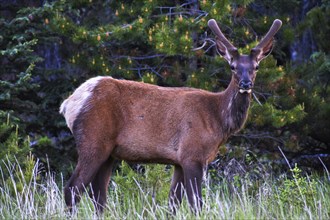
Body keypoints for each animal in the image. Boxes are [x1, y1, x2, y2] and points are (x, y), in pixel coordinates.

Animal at [58, 18, 282, 214]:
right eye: (232, 66)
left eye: (256, 67)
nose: (246, 84)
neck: (217, 120)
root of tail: (69, 104)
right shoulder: (192, 154)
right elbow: (196, 204)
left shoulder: (178, 161)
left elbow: (173, 204)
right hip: (93, 141)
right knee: (72, 189)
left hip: (109, 152)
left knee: (98, 195)